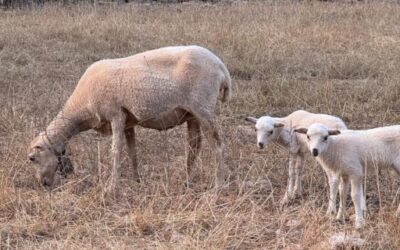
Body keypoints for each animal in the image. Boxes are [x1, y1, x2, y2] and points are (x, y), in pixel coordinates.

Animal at [26, 45, 231, 194]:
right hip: (191, 114)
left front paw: (111, 188)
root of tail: (221, 67)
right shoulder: (128, 122)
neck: (81, 108)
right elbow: (132, 152)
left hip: (203, 108)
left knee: (217, 145)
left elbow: (116, 152)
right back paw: (186, 180)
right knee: (194, 145)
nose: (43, 184)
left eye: (32, 158)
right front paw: (136, 180)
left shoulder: (116, 115)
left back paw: (218, 186)